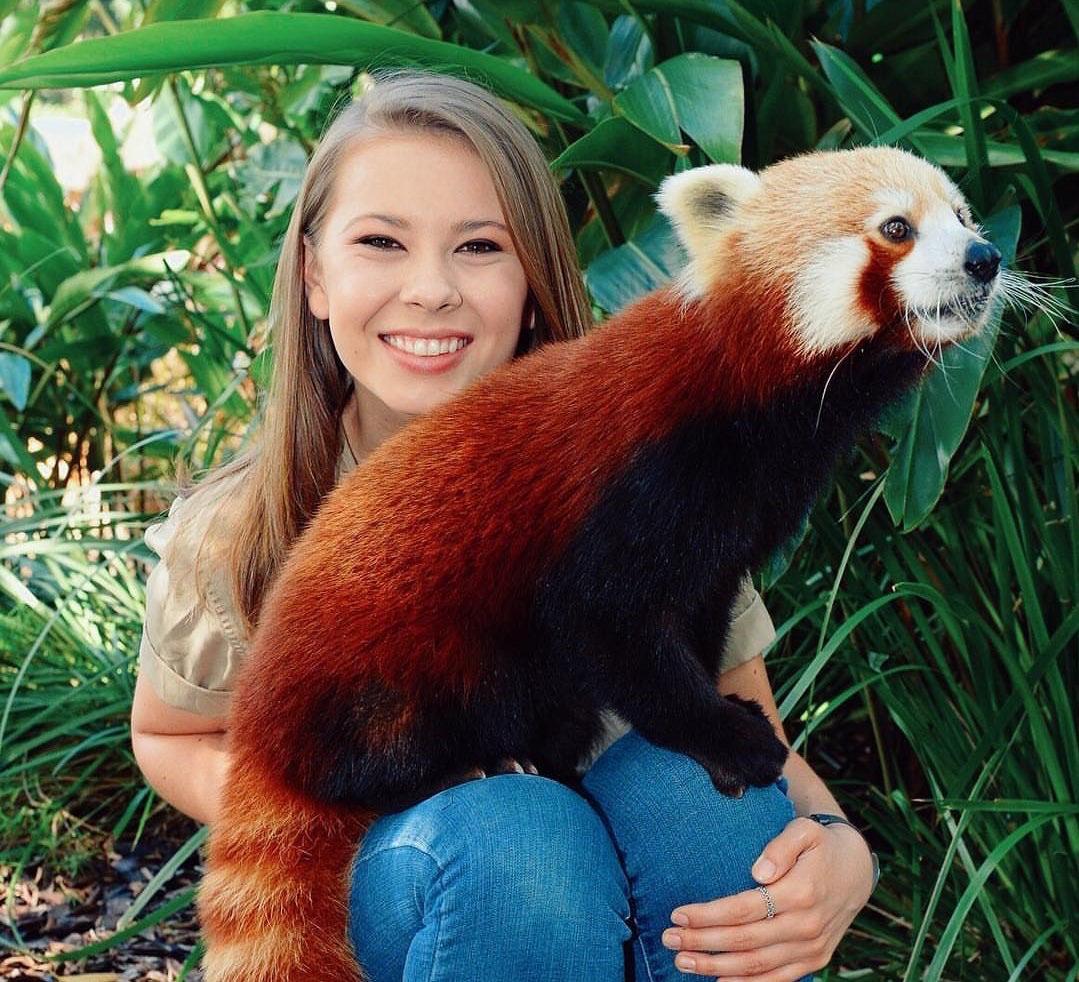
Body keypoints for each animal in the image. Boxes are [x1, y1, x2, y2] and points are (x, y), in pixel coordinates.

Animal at [194, 145, 1001, 982]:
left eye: (962, 216)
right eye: (896, 228)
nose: (985, 257)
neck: (756, 404)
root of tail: (260, 711)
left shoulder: (727, 534)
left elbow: (695, 620)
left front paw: (721, 703)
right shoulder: (631, 486)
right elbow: (605, 626)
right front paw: (721, 734)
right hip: (393, 663)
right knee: (373, 750)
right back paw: (461, 769)